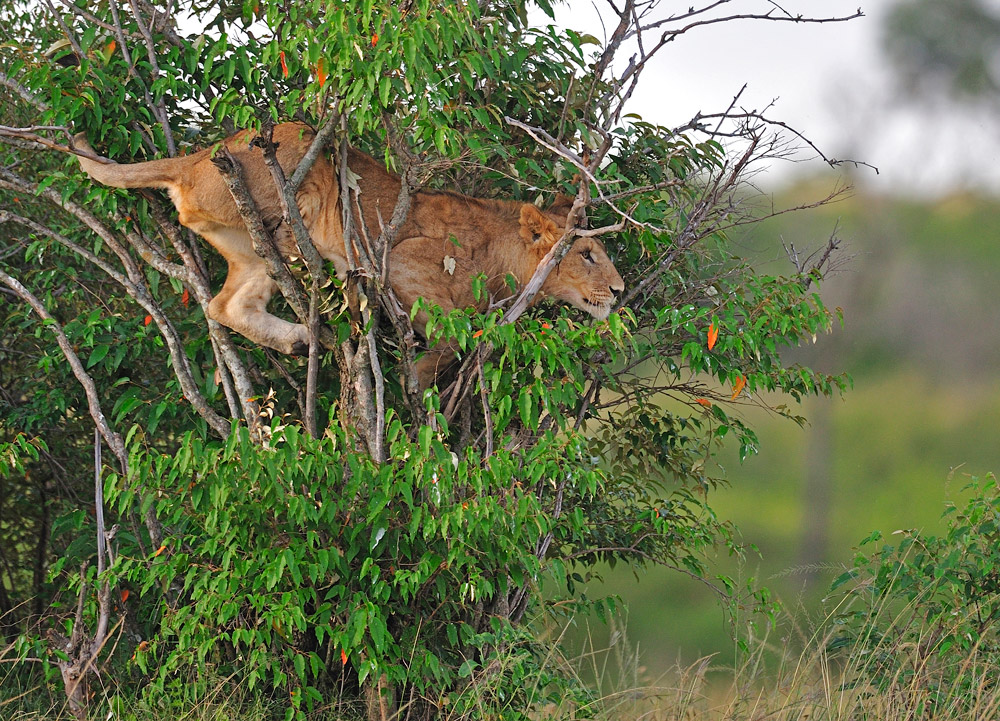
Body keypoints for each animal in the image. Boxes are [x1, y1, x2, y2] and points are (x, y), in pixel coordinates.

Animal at [76, 124, 624, 382]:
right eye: (588, 254)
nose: (619, 290)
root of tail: (191, 162)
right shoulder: (401, 258)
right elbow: (450, 335)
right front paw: (416, 389)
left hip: (249, 254)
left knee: (224, 305)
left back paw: (298, 340)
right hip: (294, 175)